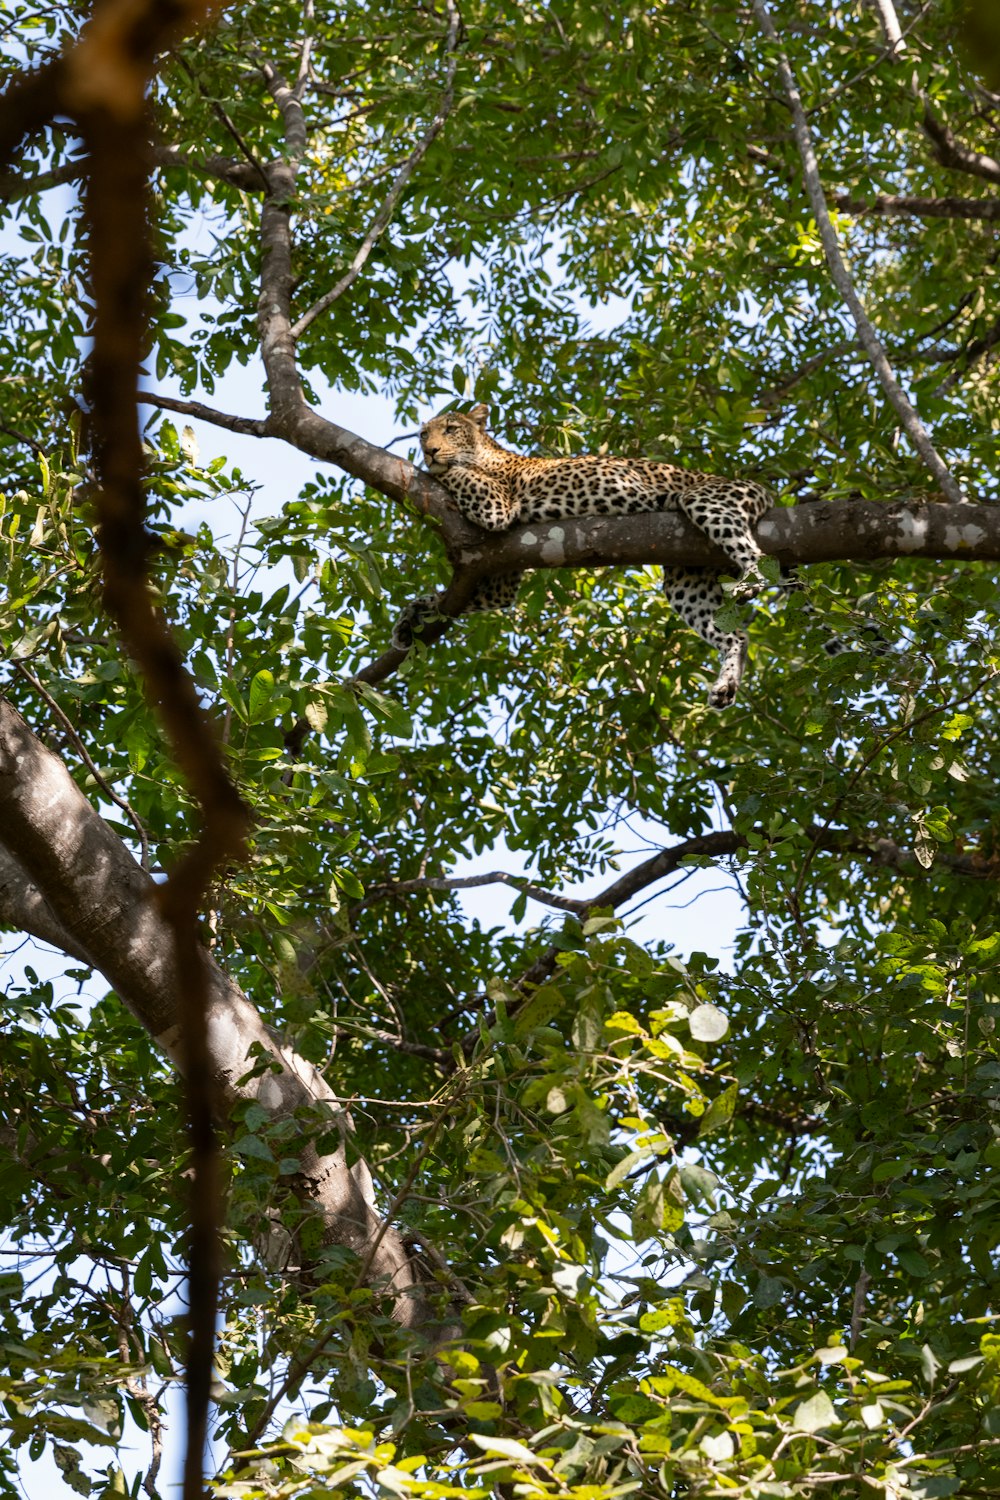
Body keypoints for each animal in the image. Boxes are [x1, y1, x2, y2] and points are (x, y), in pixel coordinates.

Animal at [392, 399, 773, 702]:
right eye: (423, 435)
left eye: (451, 429)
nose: (429, 450)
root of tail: (763, 489)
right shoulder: (498, 580)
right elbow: (450, 599)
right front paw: (410, 618)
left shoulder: (495, 504)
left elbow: (454, 473)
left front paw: (428, 466)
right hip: (686, 583)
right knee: (736, 636)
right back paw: (726, 685)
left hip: (706, 500)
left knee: (754, 555)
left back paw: (752, 581)